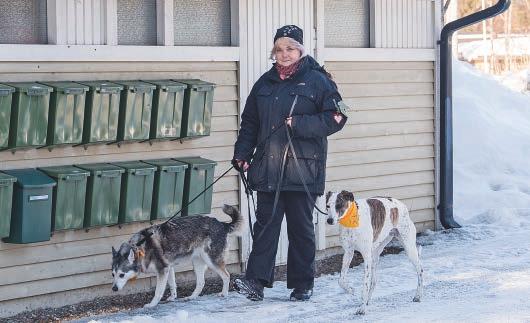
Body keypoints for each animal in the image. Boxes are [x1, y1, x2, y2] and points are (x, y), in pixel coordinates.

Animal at [113, 205, 243, 308]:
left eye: (122, 275)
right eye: (113, 274)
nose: (114, 288)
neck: (140, 247)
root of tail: (222, 224)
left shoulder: (162, 270)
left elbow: (158, 291)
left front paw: (152, 304)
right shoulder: (168, 268)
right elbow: (172, 285)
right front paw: (173, 297)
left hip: (212, 261)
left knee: (226, 276)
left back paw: (224, 293)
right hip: (197, 262)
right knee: (201, 282)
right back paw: (192, 297)